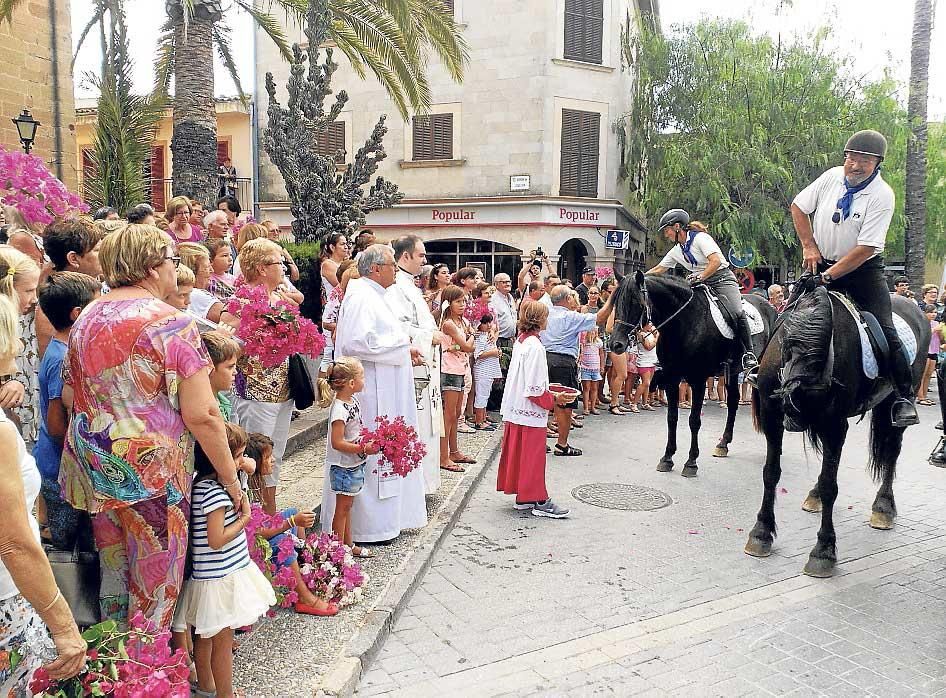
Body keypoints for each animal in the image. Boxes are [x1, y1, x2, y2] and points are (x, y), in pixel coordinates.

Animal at [608, 272, 772, 478]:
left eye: (635, 302)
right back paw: (723, 444)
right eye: (615, 302)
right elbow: (672, 418)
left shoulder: (698, 380)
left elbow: (694, 421)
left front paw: (691, 462)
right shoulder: (672, 379)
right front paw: (667, 458)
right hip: (732, 371)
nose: (616, 344)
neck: (685, 324)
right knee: (733, 401)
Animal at [740, 284, 924, 576]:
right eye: (785, 351)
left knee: (892, 450)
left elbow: (830, 485)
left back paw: (883, 507)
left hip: (898, 402)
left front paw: (823, 550)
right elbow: (771, 473)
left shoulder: (834, 424)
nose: (794, 413)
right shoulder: (772, 418)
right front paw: (761, 533)